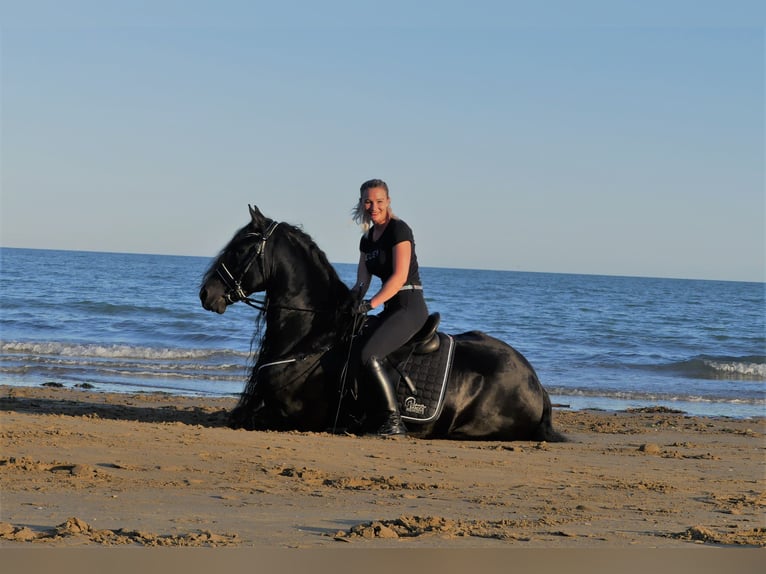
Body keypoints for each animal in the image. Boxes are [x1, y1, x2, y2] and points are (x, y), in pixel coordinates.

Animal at [201, 207, 568, 446]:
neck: (311, 338)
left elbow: (245, 419)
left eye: (241, 249)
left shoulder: (294, 416)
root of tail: (535, 382)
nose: (206, 293)